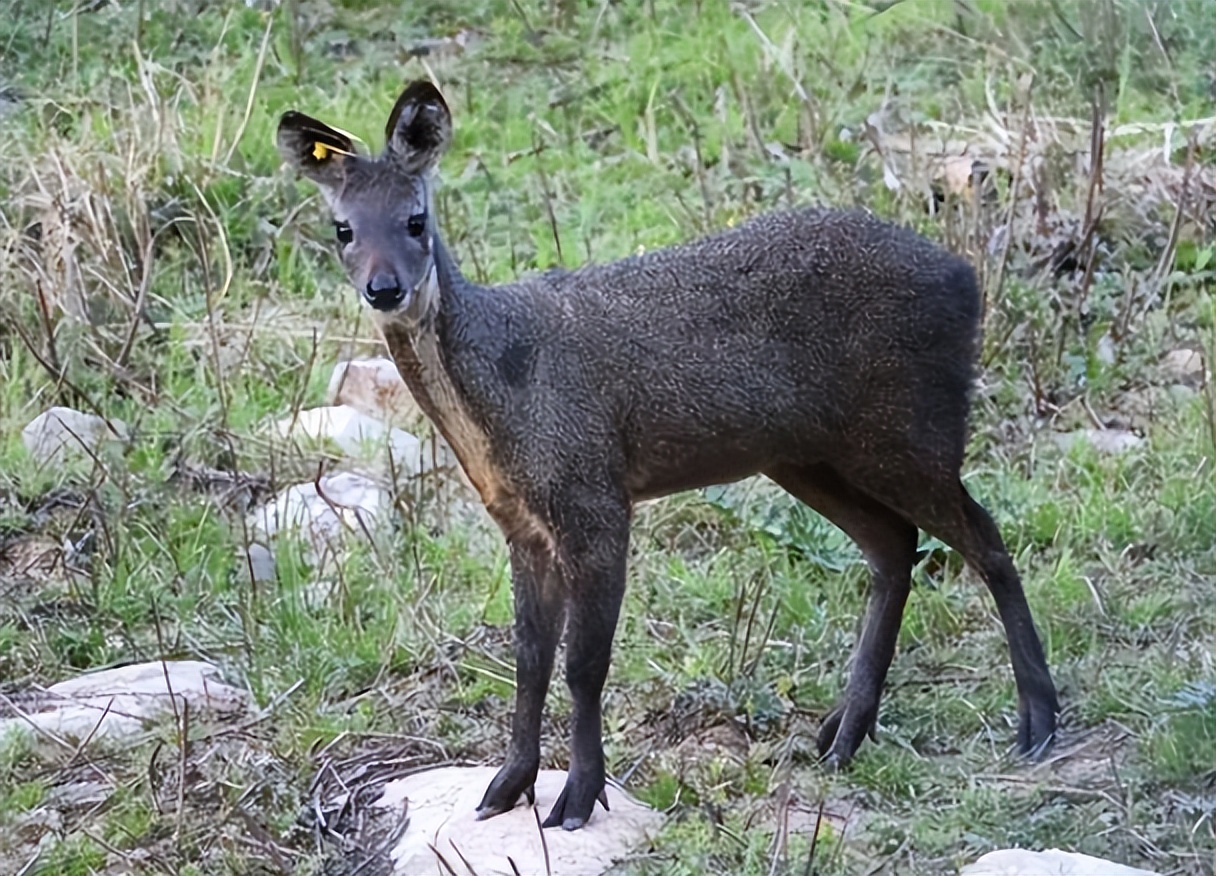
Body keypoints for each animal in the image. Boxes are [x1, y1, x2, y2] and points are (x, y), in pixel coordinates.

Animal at [279, 82, 1060, 837]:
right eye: (342, 228)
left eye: (416, 220)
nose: (385, 289)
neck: (506, 386)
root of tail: (967, 279)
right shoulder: (521, 521)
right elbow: (529, 659)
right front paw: (507, 787)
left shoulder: (593, 493)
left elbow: (583, 664)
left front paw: (578, 798)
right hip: (807, 454)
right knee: (896, 544)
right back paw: (843, 735)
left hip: (908, 427)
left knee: (985, 538)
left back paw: (1038, 722)